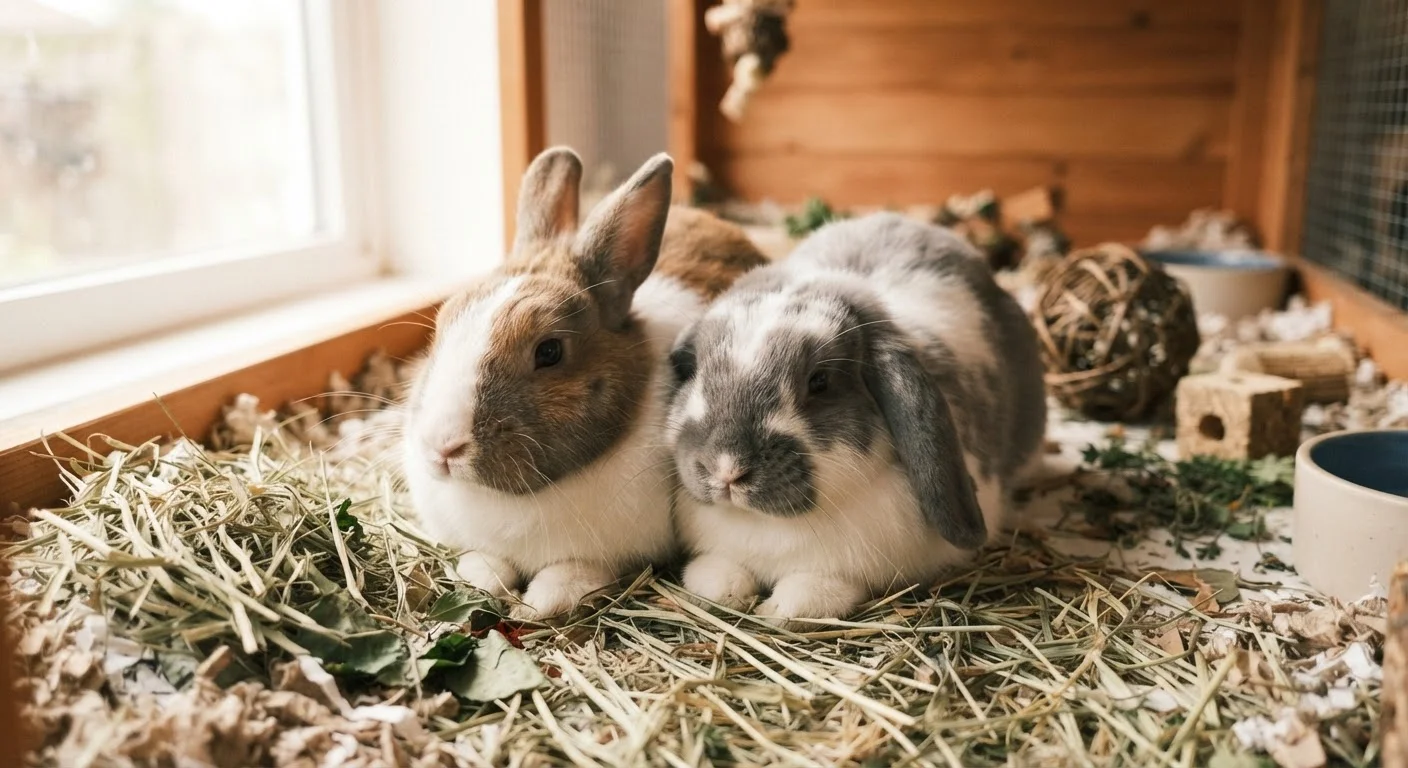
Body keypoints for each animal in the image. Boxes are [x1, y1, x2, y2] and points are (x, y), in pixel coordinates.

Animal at [401, 147, 767, 620]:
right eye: (442, 324)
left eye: (549, 351)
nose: (442, 447)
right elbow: (484, 566)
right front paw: (486, 584)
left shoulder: (598, 559)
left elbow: (565, 579)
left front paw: (532, 608)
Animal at [664, 212, 1046, 623]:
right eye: (695, 369)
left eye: (820, 381)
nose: (726, 469)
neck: (766, 526)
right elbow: (720, 575)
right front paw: (722, 588)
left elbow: (808, 592)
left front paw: (777, 608)